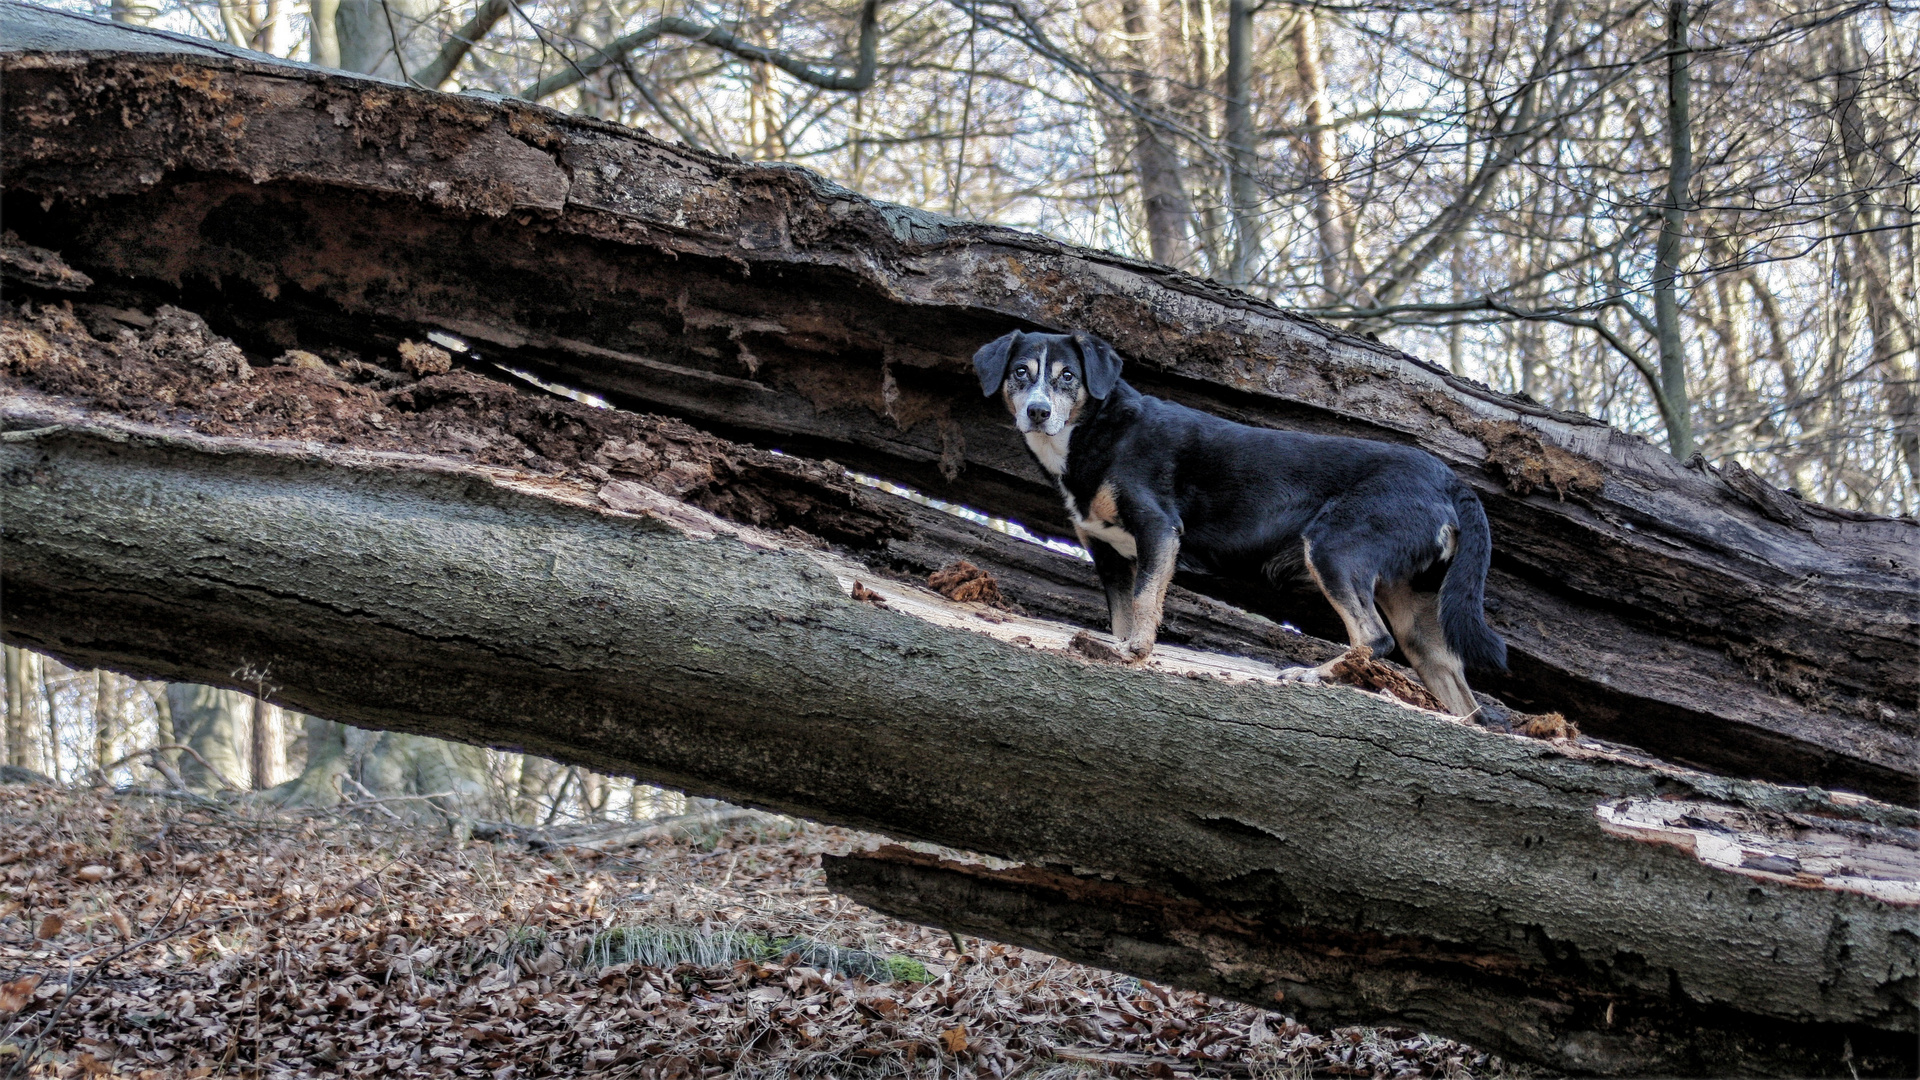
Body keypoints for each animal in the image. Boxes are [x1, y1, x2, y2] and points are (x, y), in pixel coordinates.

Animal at [983, 328, 1505, 714]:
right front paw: (1119, 647)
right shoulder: (1109, 554)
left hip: (1333, 547)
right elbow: (1121, 615)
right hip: (1415, 612)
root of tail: (1449, 479)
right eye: (1020, 372)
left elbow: (1145, 603)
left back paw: (1313, 674)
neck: (1096, 432)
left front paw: (1136, 652)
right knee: (1461, 700)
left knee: (1372, 639)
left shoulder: (1158, 531)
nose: (1037, 411)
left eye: (1068, 376)